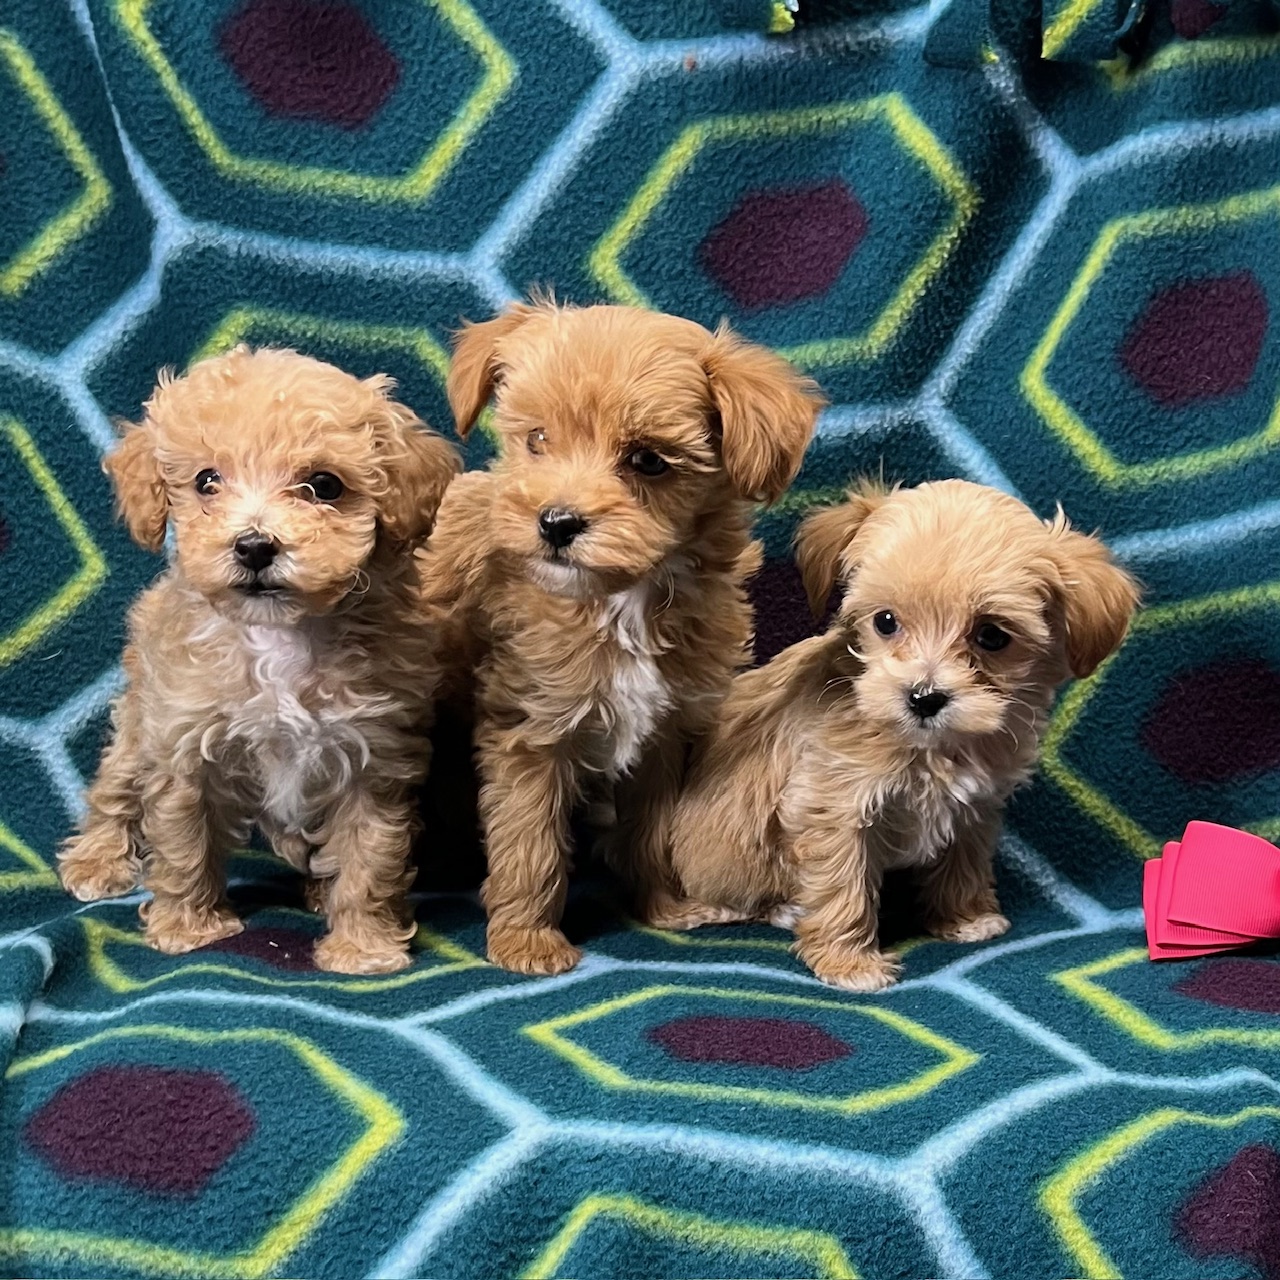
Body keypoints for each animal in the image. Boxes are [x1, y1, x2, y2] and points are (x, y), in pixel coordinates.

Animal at [61, 348, 460, 967]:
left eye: (324, 485)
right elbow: (184, 843)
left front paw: (363, 947)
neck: (278, 635)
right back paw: (96, 861)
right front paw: (188, 927)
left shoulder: (374, 757)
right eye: (206, 481)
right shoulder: (184, 744)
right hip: (139, 718)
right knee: (115, 787)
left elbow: (371, 857)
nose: (253, 546)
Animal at [414, 299, 824, 972]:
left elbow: (651, 828)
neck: (623, 599)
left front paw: (663, 905)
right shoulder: (530, 729)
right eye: (537, 440)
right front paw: (527, 939)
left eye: (648, 461)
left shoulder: (666, 730)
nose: (556, 522)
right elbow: (529, 841)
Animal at [670, 481, 1141, 988]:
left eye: (992, 636)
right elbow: (843, 886)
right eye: (886, 621)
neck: (929, 748)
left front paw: (966, 917)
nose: (924, 697)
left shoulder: (975, 807)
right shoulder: (832, 807)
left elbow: (964, 860)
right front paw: (849, 964)